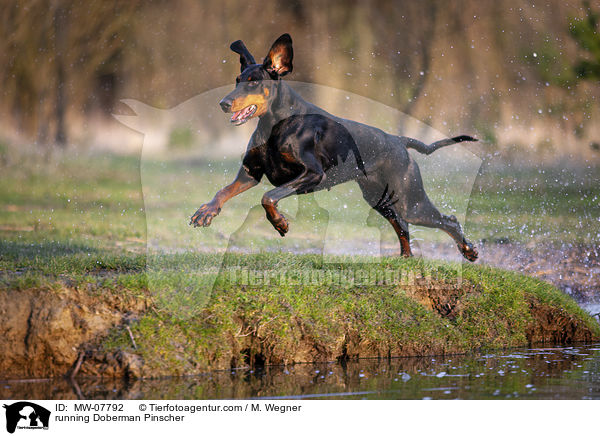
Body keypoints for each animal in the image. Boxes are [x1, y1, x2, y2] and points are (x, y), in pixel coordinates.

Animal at [190, 34, 480, 260]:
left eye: (253, 81)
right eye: (237, 79)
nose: (223, 103)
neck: (275, 123)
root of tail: (399, 141)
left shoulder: (312, 173)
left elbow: (268, 196)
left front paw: (280, 223)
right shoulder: (251, 173)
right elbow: (224, 191)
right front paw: (205, 212)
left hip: (410, 199)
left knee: (446, 220)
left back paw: (469, 251)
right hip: (381, 199)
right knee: (403, 226)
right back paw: (405, 258)